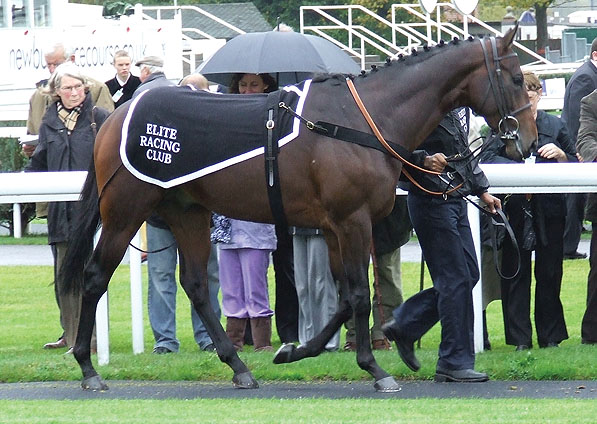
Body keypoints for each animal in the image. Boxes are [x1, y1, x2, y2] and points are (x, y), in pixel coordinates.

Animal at [60, 24, 536, 392]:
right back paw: (87, 367)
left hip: (187, 211)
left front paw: (297, 350)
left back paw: (239, 366)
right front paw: (375, 370)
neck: (361, 120)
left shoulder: (332, 227)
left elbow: (343, 299)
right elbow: (358, 296)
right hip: (125, 211)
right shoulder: (352, 221)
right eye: (516, 78)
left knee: (195, 285)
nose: (527, 142)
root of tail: (114, 116)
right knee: (95, 276)